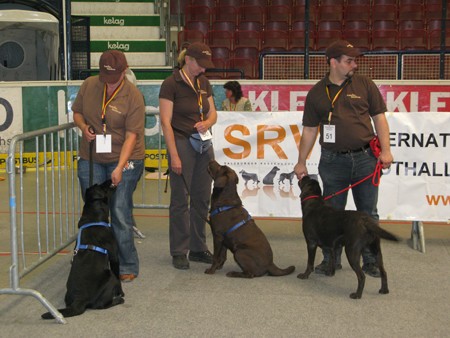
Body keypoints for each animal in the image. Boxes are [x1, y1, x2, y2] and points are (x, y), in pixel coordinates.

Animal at [41, 180, 125, 320]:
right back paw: (118, 300)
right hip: (109, 276)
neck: (94, 218)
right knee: (101, 305)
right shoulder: (114, 256)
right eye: (101, 186)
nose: (110, 179)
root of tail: (79, 300)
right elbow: (118, 277)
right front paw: (122, 293)